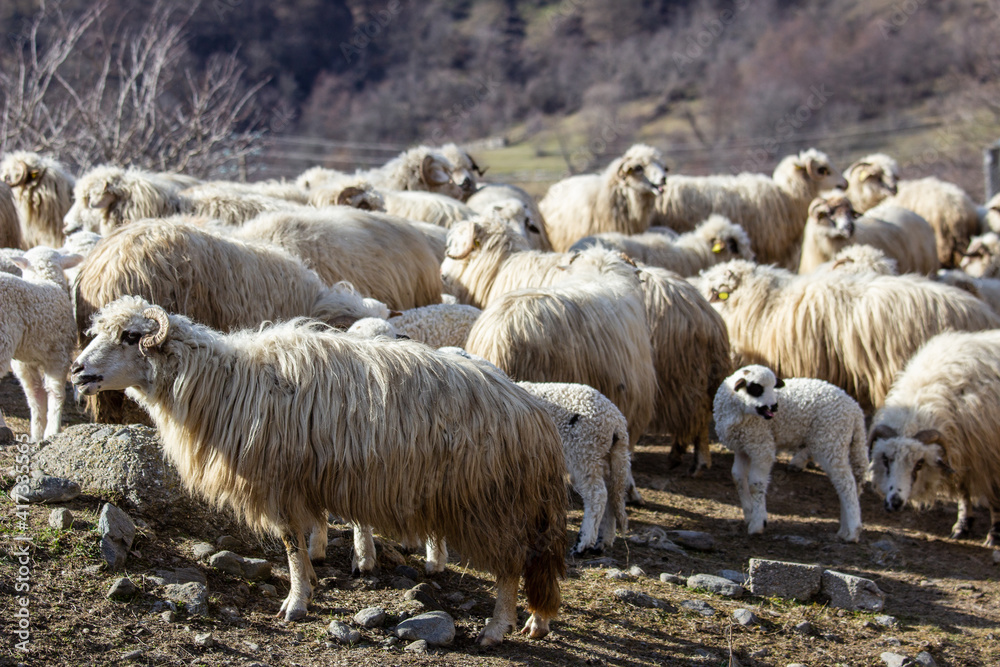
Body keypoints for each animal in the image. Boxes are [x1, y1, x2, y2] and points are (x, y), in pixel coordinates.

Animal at [0, 247, 82, 441]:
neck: (45, 279)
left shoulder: (23, 362)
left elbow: (34, 394)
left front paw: (37, 433)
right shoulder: (58, 354)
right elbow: (56, 391)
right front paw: (52, 430)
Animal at [70, 296, 568, 644]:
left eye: (131, 336)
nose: (77, 370)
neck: (225, 383)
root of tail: (532, 414)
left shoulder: (278, 481)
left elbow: (290, 544)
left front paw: (295, 602)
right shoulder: (303, 480)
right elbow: (309, 537)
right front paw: (314, 573)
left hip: (491, 503)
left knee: (510, 568)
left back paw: (496, 629)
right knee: (532, 563)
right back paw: (536, 623)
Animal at [713, 365, 867, 541]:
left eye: (774, 386)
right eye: (756, 388)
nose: (775, 406)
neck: (739, 411)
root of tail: (855, 409)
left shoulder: (761, 446)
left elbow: (755, 484)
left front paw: (758, 524)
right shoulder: (742, 447)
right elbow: (738, 478)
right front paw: (749, 514)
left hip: (831, 441)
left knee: (847, 483)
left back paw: (853, 532)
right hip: (839, 443)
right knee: (846, 484)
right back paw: (844, 530)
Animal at [844, 154, 980, 268]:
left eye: (894, 176)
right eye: (877, 175)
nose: (894, 188)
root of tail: (958, 208)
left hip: (943, 243)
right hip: (959, 241)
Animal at [867, 330, 1000, 546]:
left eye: (919, 464)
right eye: (886, 460)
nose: (894, 502)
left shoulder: (989, 455)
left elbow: (995, 496)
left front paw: (995, 534)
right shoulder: (961, 453)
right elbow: (963, 491)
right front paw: (962, 525)